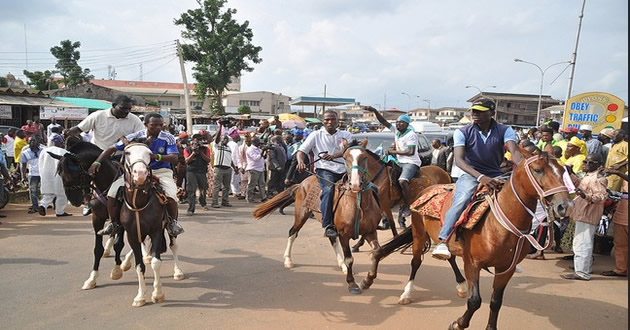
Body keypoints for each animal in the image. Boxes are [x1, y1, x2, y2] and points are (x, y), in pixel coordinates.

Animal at [372, 148, 576, 328]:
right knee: (416, 262)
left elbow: (496, 302)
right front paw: (458, 323)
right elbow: (475, 301)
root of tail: (426, 188)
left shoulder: (505, 269)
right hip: (419, 233)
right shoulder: (473, 264)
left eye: (563, 170)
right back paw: (407, 293)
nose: (564, 206)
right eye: (538, 170)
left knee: (449, 257)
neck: (499, 224)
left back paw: (461, 286)